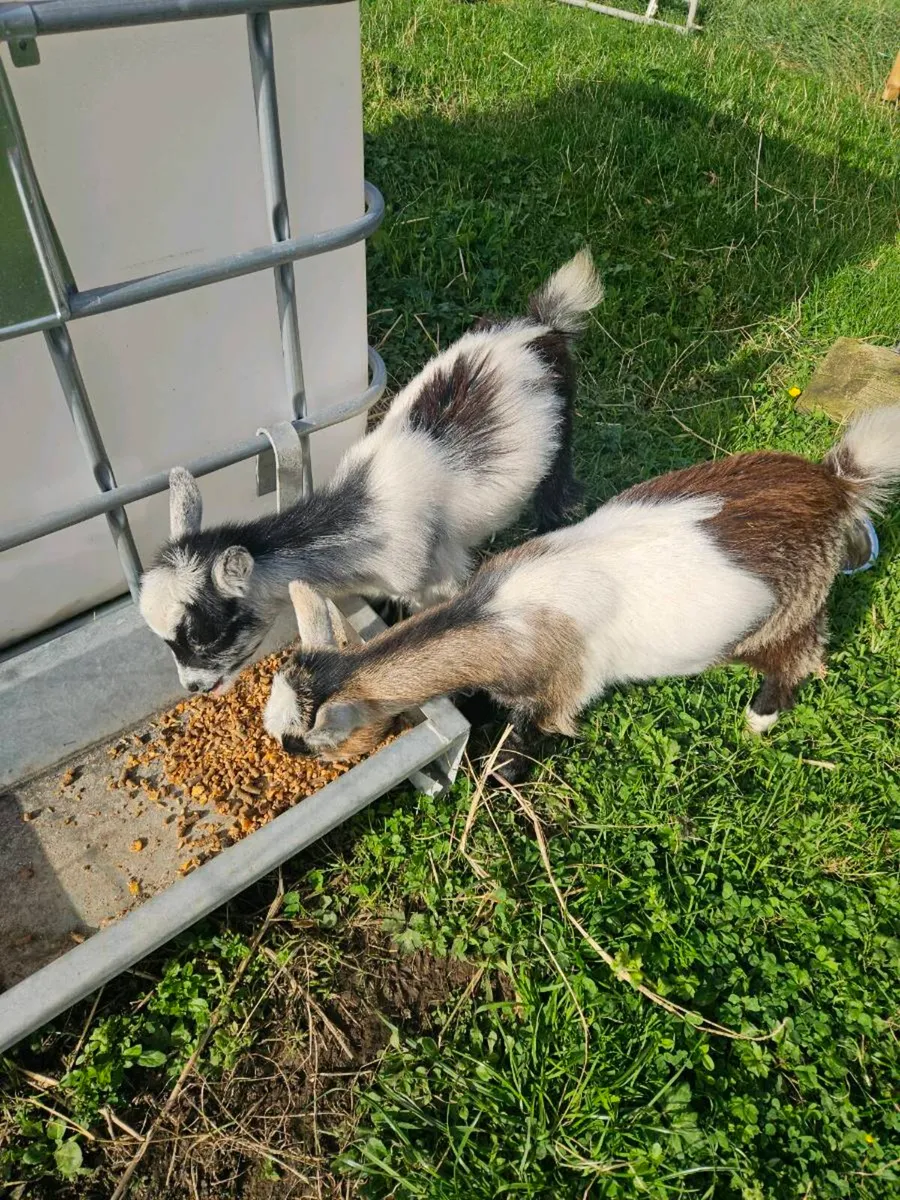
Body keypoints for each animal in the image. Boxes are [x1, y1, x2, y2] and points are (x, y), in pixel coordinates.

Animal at [139, 250, 603, 694]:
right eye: (170, 642)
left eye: (207, 636)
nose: (194, 686)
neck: (363, 514)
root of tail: (541, 326)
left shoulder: (437, 577)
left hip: (562, 427)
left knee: (558, 489)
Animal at [264, 405, 900, 776]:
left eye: (303, 741)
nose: (287, 757)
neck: (498, 619)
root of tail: (836, 485)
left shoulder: (555, 691)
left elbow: (518, 751)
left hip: (788, 611)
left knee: (797, 658)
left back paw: (758, 719)